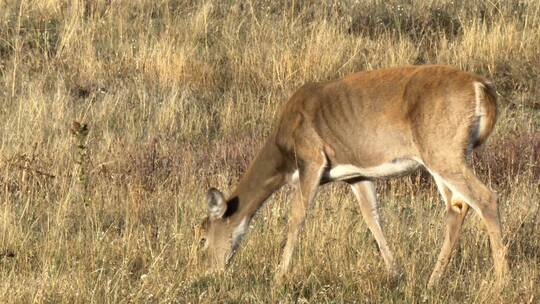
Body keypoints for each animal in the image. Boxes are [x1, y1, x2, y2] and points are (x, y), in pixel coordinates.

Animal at [197, 64, 506, 288]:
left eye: (203, 236)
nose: (209, 272)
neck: (283, 150)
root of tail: (482, 87)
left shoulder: (311, 158)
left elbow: (297, 217)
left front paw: (279, 275)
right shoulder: (356, 175)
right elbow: (372, 217)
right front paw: (395, 273)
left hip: (443, 150)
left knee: (486, 198)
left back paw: (502, 281)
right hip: (443, 155)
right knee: (457, 207)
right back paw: (433, 280)